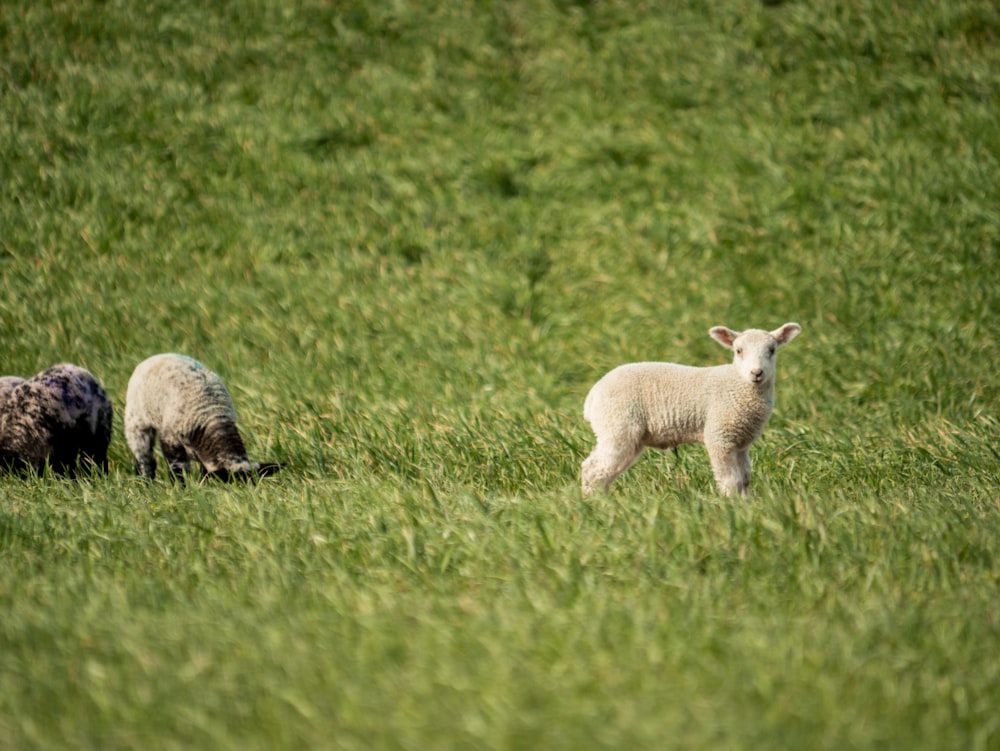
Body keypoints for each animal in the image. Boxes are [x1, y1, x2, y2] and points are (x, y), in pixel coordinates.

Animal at [126, 354, 282, 482]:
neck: (212, 418)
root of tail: (157, 356)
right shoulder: (171, 439)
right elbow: (178, 468)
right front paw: (181, 488)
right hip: (136, 422)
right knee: (145, 459)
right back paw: (147, 483)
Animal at [584, 324, 800, 500]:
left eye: (772, 350)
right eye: (738, 351)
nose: (756, 373)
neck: (737, 384)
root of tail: (593, 395)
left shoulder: (741, 442)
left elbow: (745, 478)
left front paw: (747, 505)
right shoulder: (719, 437)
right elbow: (731, 480)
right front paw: (732, 506)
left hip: (625, 435)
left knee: (604, 472)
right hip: (617, 425)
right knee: (593, 470)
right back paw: (594, 504)